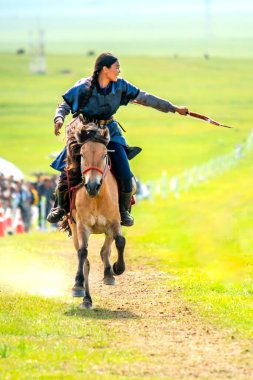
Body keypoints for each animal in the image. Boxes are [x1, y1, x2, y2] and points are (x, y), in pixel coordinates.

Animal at [63, 118, 126, 308]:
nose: (92, 185)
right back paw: (86, 297)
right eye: (82, 155)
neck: (97, 197)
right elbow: (83, 254)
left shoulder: (114, 223)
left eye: (104, 155)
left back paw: (109, 274)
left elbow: (119, 242)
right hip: (74, 229)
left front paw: (117, 269)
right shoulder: (82, 226)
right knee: (85, 261)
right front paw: (77, 287)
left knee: (105, 250)